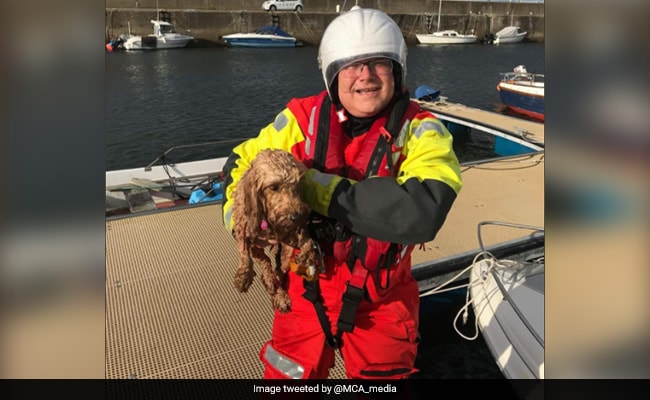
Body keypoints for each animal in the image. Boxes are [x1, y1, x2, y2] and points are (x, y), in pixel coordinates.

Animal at [232, 149, 318, 312]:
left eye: (298, 185)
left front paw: (306, 252)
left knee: (281, 268)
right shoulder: (245, 232)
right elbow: (245, 252)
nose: (297, 216)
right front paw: (244, 276)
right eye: (273, 187)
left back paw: (279, 292)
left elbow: (306, 239)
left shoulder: (289, 233)